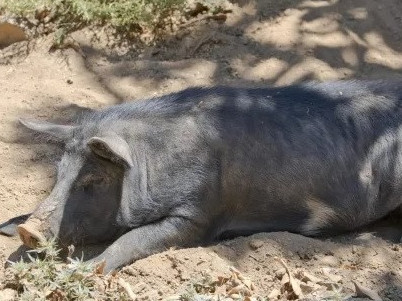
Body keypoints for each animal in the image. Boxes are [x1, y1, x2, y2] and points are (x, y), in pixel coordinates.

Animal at [0, 80, 402, 272]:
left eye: (94, 180)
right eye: (58, 173)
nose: (30, 230)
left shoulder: (198, 213)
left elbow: (131, 240)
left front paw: (79, 273)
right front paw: (9, 225)